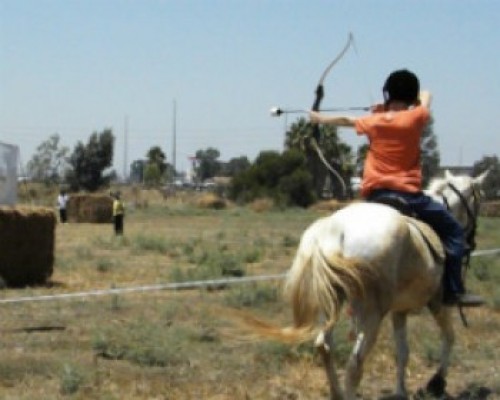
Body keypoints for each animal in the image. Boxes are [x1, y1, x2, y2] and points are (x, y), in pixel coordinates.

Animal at [250, 170, 488, 398]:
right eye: (479, 198)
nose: (472, 240)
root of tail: (335, 230)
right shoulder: (437, 302)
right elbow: (449, 337)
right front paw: (436, 383)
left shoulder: (399, 311)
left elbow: (403, 352)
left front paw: (401, 391)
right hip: (372, 313)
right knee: (355, 364)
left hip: (331, 303)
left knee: (324, 345)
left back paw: (336, 392)